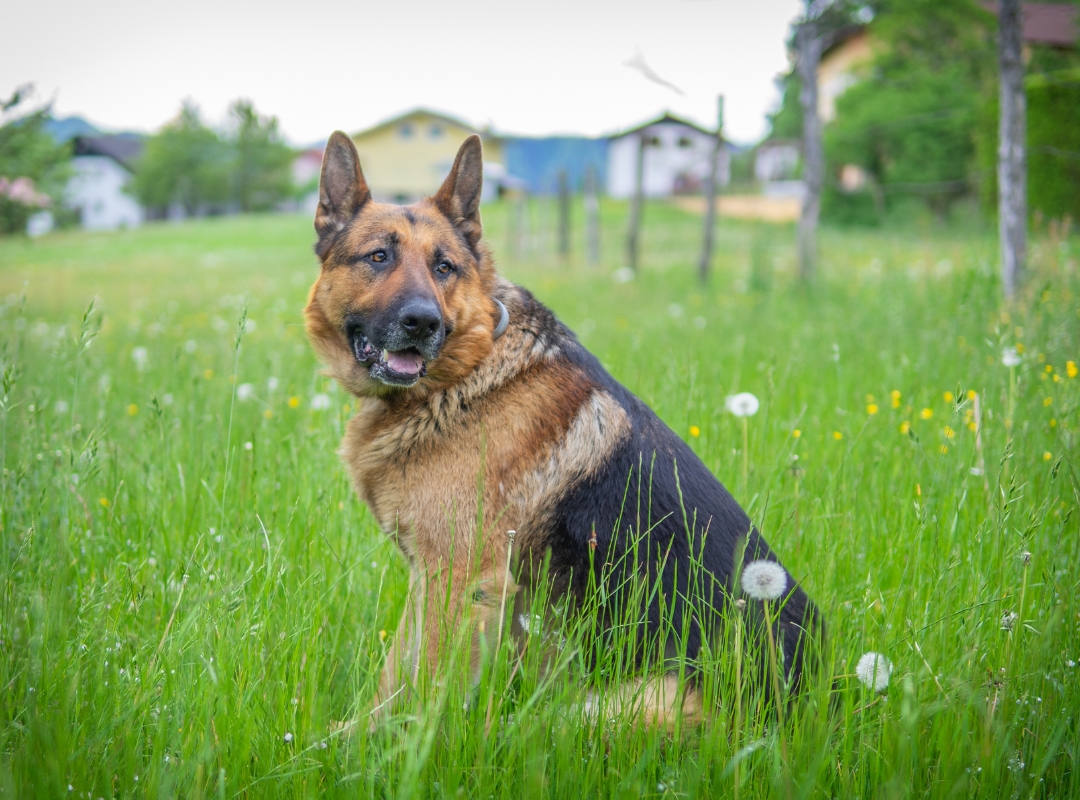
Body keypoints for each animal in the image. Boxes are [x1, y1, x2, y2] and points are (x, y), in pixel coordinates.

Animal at [304, 132, 816, 725]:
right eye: (378, 257)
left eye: (445, 267)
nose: (422, 322)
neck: (469, 371)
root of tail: (818, 693)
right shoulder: (431, 579)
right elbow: (395, 678)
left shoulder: (458, 579)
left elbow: (421, 692)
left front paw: (386, 741)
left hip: (608, 707)